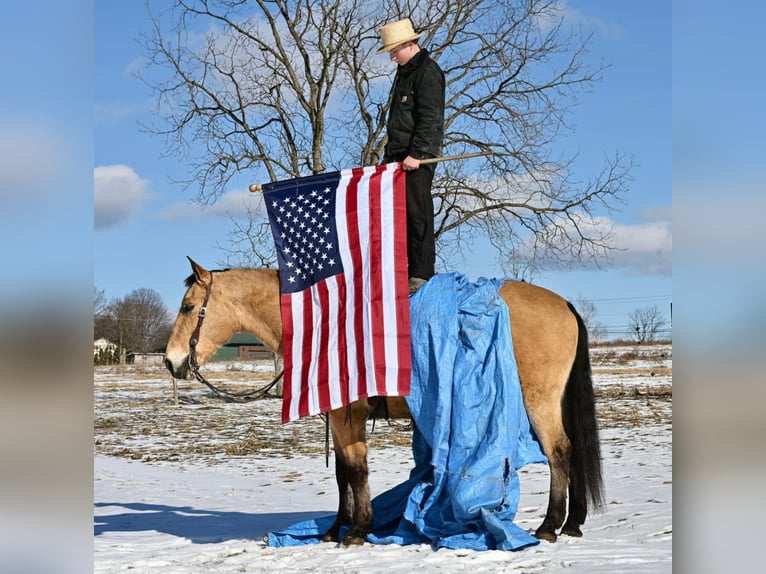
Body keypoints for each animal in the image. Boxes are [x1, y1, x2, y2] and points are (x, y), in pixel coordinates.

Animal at [164, 258, 608, 548]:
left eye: (188, 307)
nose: (171, 361)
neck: (324, 326)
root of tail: (564, 305)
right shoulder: (338, 416)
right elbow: (342, 473)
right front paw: (336, 529)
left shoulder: (349, 415)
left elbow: (356, 470)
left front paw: (358, 530)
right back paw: (573, 523)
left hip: (540, 402)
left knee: (559, 451)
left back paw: (549, 525)